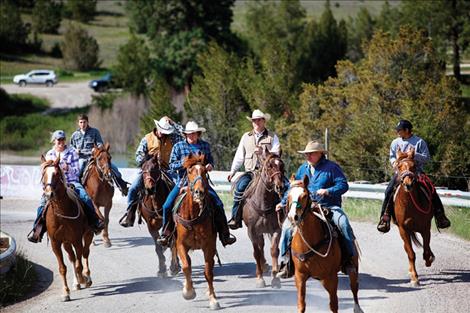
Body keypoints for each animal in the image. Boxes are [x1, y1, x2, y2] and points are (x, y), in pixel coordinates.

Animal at [40, 155, 95, 302]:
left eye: (56, 174)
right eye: (43, 174)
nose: (48, 194)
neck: (61, 213)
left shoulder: (77, 240)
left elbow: (79, 264)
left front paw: (82, 279)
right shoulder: (56, 243)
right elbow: (62, 268)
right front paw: (65, 292)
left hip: (87, 235)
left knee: (85, 254)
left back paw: (86, 278)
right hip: (66, 243)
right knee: (72, 258)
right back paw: (76, 283)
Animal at [173, 152, 219, 308]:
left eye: (205, 171)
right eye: (189, 171)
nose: (199, 192)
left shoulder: (209, 245)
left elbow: (208, 272)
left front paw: (213, 299)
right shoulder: (180, 244)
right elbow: (186, 267)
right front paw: (188, 292)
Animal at [241, 147, 284, 286]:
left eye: (282, 165)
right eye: (269, 166)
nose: (280, 186)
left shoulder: (276, 229)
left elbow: (274, 250)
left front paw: (275, 277)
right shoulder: (252, 231)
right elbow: (256, 252)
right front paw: (259, 278)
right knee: (260, 248)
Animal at [286, 176, 360, 312]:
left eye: (304, 195)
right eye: (288, 195)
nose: (293, 216)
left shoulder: (331, 277)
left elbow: (334, 305)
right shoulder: (300, 276)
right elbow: (301, 304)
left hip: (352, 267)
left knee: (354, 287)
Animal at [392, 147, 434, 286]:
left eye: (414, 166)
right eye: (399, 166)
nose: (408, 184)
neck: (409, 204)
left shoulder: (426, 228)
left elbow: (426, 251)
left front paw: (429, 260)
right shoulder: (403, 229)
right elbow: (411, 254)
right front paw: (415, 278)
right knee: (407, 249)